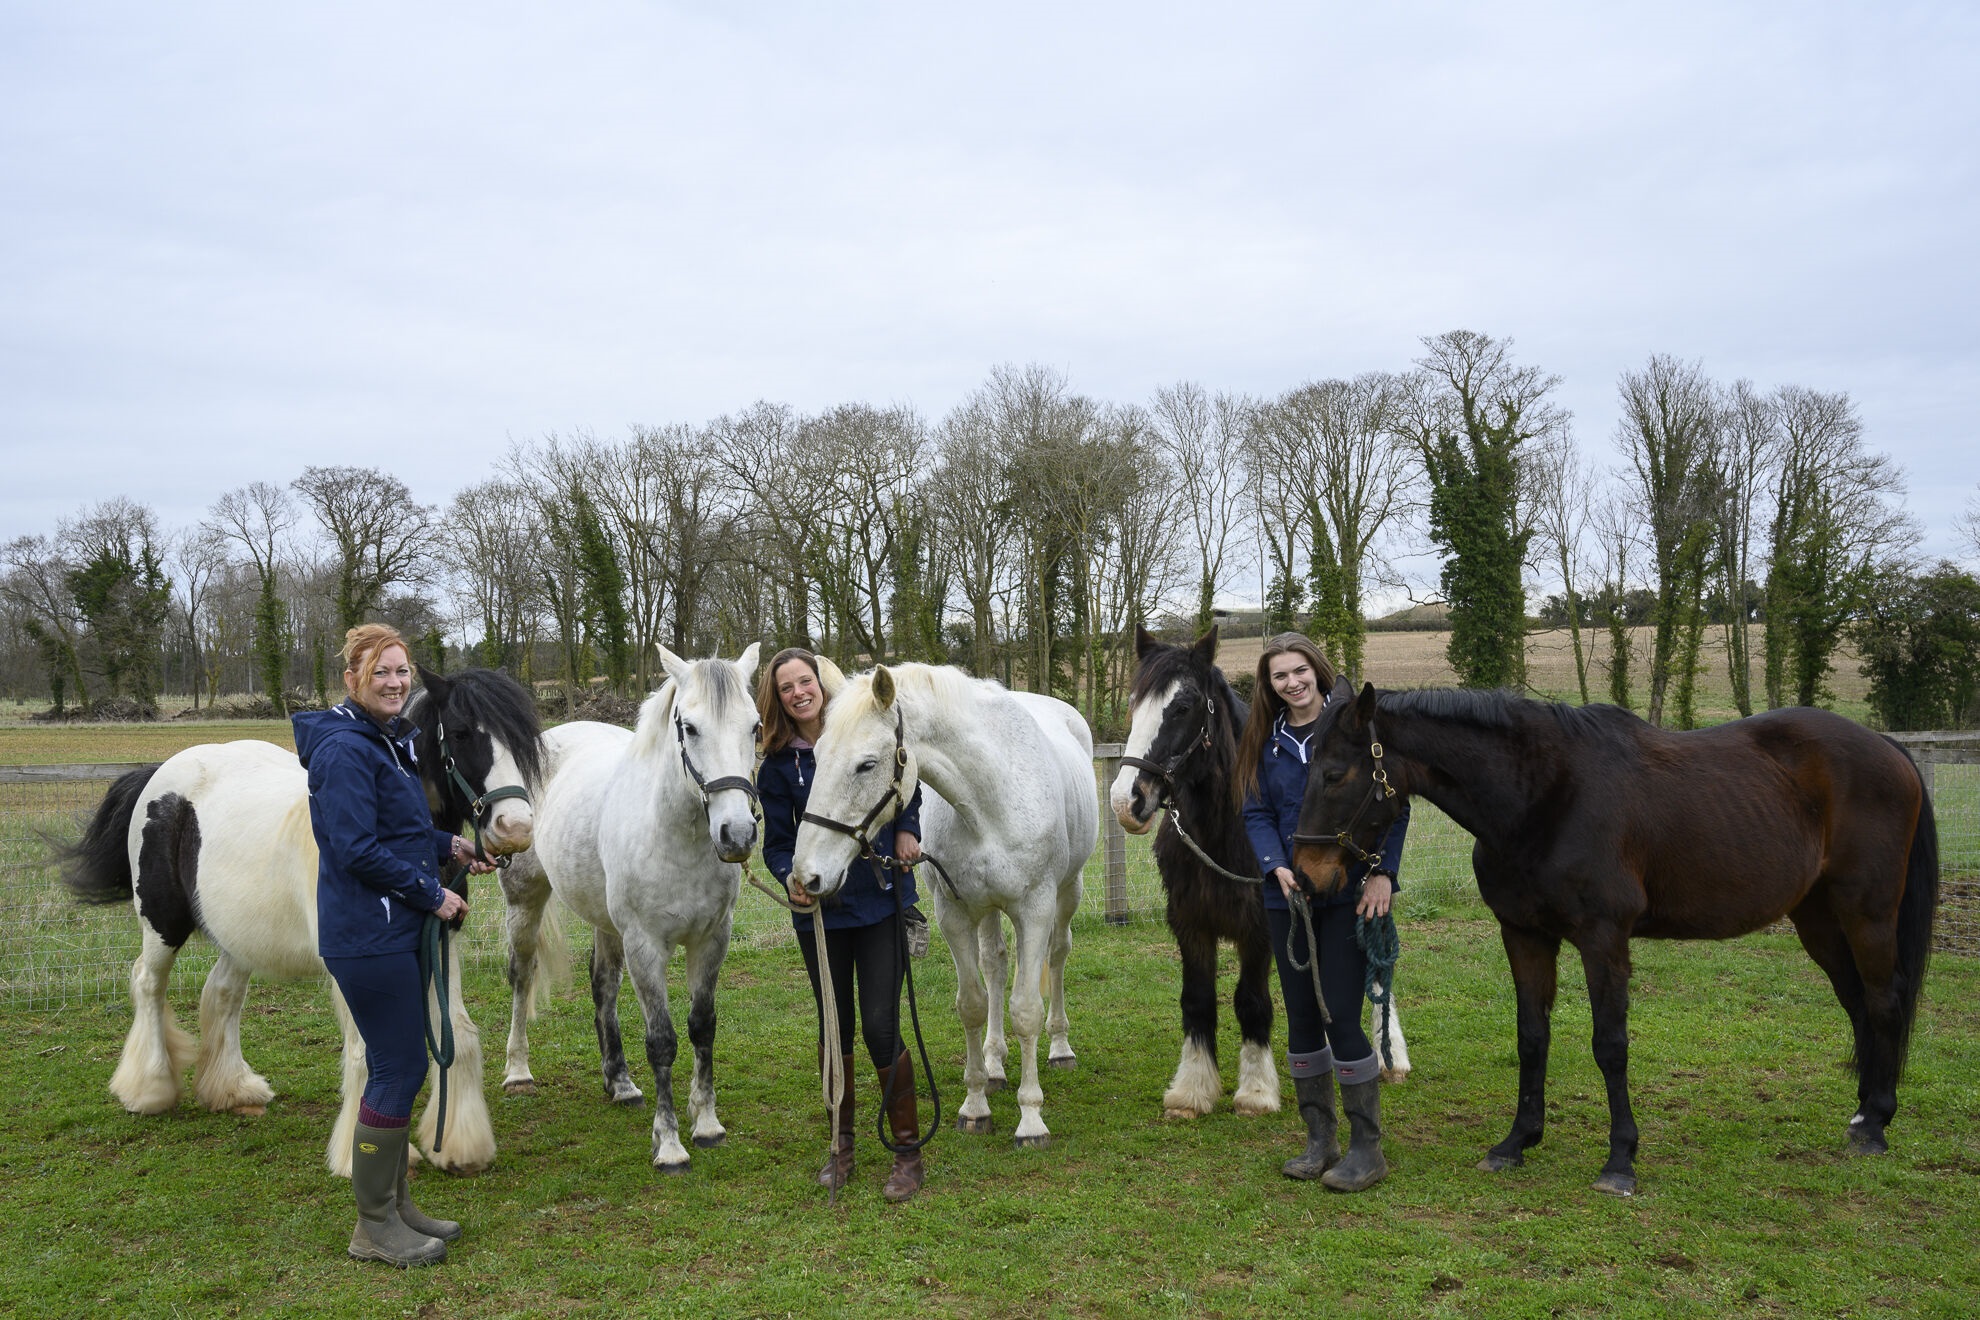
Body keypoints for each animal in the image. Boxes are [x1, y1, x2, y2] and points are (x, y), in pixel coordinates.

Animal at [58, 667, 542, 1176]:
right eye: (464, 733)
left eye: (522, 739)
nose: (516, 829)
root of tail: (159, 775)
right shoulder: (357, 964)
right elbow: (369, 1053)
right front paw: (357, 1156)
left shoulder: (440, 940)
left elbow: (460, 1035)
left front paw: (458, 1146)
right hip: (161, 922)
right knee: (148, 983)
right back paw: (148, 1088)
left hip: (239, 935)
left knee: (222, 993)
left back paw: (231, 1088)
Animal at [497, 643, 761, 1172]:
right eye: (689, 727)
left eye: (755, 727)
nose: (738, 835)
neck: (675, 834)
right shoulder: (645, 945)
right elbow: (662, 1041)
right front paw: (671, 1145)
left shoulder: (712, 939)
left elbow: (702, 1028)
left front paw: (707, 1124)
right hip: (526, 902)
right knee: (522, 974)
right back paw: (518, 1072)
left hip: (606, 923)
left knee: (603, 985)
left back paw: (619, 1082)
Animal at [788, 663, 1098, 1149]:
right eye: (816, 754)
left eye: (866, 764)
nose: (806, 875)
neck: (992, 799)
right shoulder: (955, 915)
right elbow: (972, 1004)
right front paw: (975, 1105)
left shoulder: (1034, 911)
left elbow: (1027, 1010)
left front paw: (1031, 1119)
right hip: (987, 911)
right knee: (995, 964)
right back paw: (994, 1064)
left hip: (1068, 892)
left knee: (1059, 955)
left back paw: (1060, 1048)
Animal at [1290, 679, 1939, 1195]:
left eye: (1334, 773)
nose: (1306, 876)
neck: (1543, 796)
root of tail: (1888, 748)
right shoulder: (1524, 935)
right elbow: (1532, 1037)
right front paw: (1516, 1142)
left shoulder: (1604, 940)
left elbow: (1610, 1044)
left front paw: (1620, 1159)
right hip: (1819, 919)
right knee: (1858, 1003)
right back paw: (1862, 1113)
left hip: (1866, 913)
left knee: (1883, 1001)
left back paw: (1875, 1125)